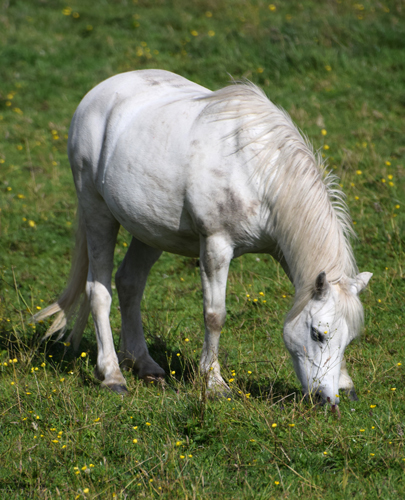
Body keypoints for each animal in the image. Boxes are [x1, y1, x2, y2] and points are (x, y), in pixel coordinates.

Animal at [34, 70, 370, 404]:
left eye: (349, 339)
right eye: (317, 334)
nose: (326, 400)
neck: (258, 172)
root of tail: (98, 92)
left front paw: (344, 381)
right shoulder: (215, 246)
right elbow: (214, 315)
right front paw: (214, 382)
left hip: (149, 230)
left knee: (129, 283)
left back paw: (144, 365)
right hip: (97, 210)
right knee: (99, 291)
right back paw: (113, 375)